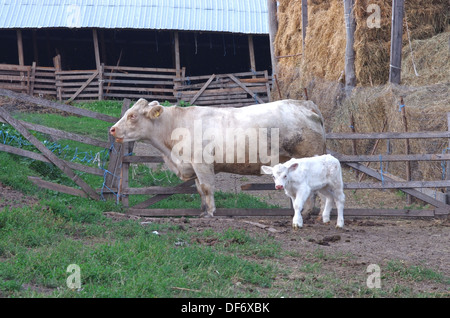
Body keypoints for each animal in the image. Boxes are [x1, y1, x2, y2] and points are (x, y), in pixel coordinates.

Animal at [110, 98, 326, 217]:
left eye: (132, 116)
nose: (112, 129)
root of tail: (304, 104)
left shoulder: (202, 163)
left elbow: (207, 188)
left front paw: (211, 212)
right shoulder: (194, 166)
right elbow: (199, 189)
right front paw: (203, 211)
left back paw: (309, 213)